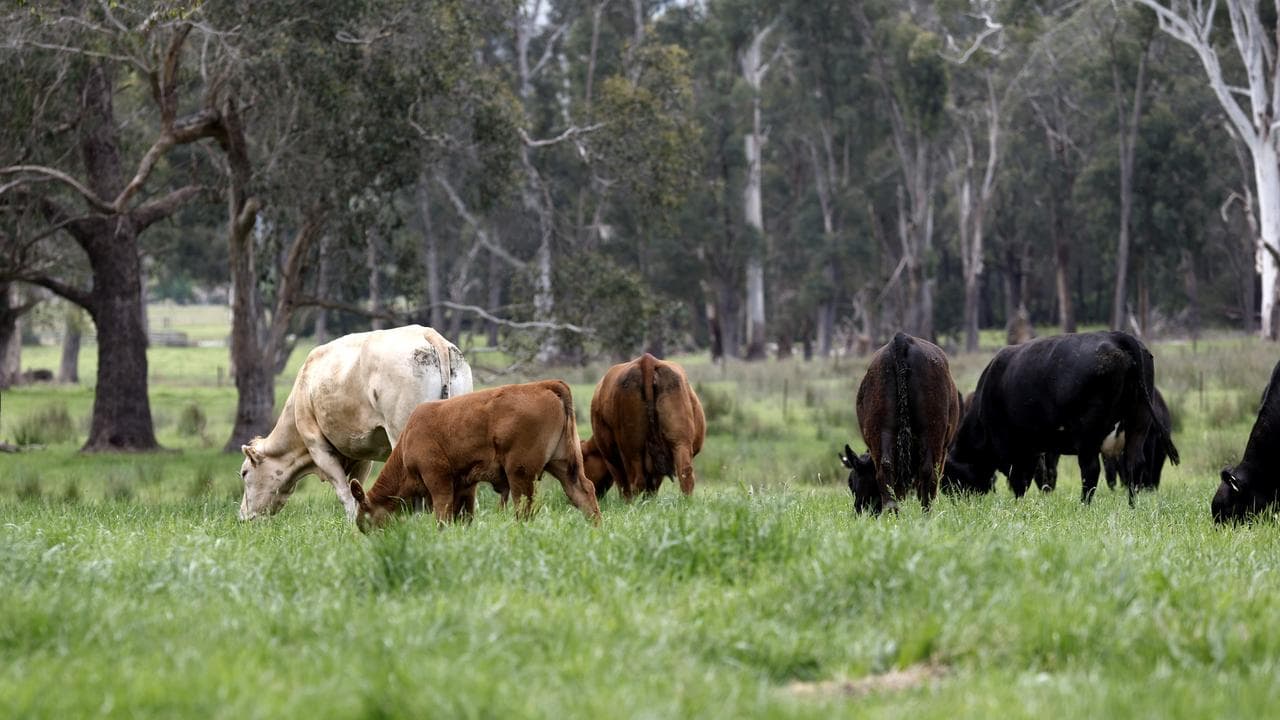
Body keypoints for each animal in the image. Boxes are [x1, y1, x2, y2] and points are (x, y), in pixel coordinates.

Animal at [238, 325, 472, 522]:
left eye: (244, 473)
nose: (242, 517)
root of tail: (428, 333)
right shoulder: (362, 453)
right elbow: (356, 488)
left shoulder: (317, 447)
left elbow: (344, 492)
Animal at [348, 380, 601, 528]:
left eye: (366, 522)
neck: (408, 440)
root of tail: (545, 385)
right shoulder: (465, 486)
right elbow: (464, 515)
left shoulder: (438, 480)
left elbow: (443, 513)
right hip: (564, 464)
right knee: (584, 491)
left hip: (520, 473)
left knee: (524, 506)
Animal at [587, 353, 706, 499]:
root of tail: (647, 360)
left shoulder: (611, 459)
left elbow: (623, 485)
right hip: (680, 441)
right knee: (685, 474)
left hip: (632, 450)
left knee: (636, 482)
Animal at [839, 333, 961, 514]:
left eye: (850, 483)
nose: (859, 510)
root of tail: (902, 339)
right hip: (932, 431)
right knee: (927, 472)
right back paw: (926, 514)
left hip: (881, 426)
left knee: (886, 467)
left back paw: (893, 512)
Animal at [942, 331, 1176, 507]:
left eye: (950, 475)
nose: (952, 498)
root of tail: (1116, 336)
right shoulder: (1034, 450)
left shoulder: (1015, 449)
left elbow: (1019, 480)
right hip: (1138, 424)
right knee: (1134, 465)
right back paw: (1131, 506)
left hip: (1088, 436)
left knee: (1091, 470)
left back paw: (1084, 506)